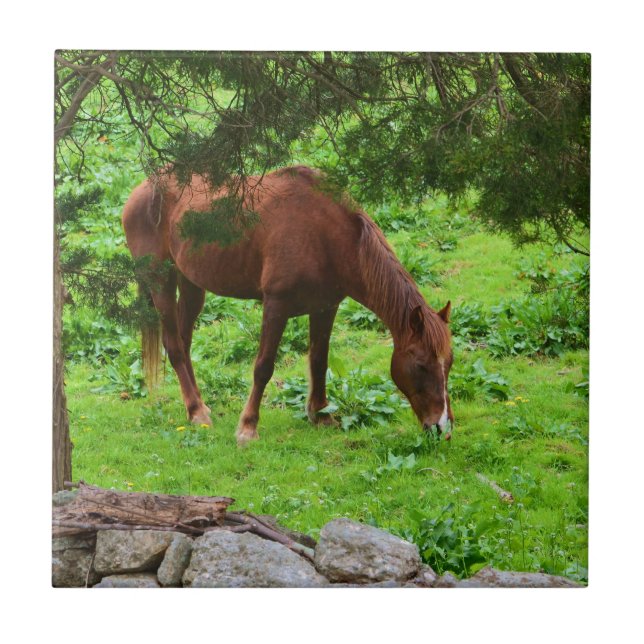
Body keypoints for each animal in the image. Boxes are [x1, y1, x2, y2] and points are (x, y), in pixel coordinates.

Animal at [122, 165, 454, 445]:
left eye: (449, 363)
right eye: (421, 365)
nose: (442, 427)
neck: (326, 235)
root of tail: (143, 189)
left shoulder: (325, 307)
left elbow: (319, 360)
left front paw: (320, 415)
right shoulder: (276, 305)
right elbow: (263, 367)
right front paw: (248, 428)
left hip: (191, 284)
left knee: (183, 341)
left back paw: (196, 406)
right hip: (160, 280)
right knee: (174, 346)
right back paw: (197, 411)